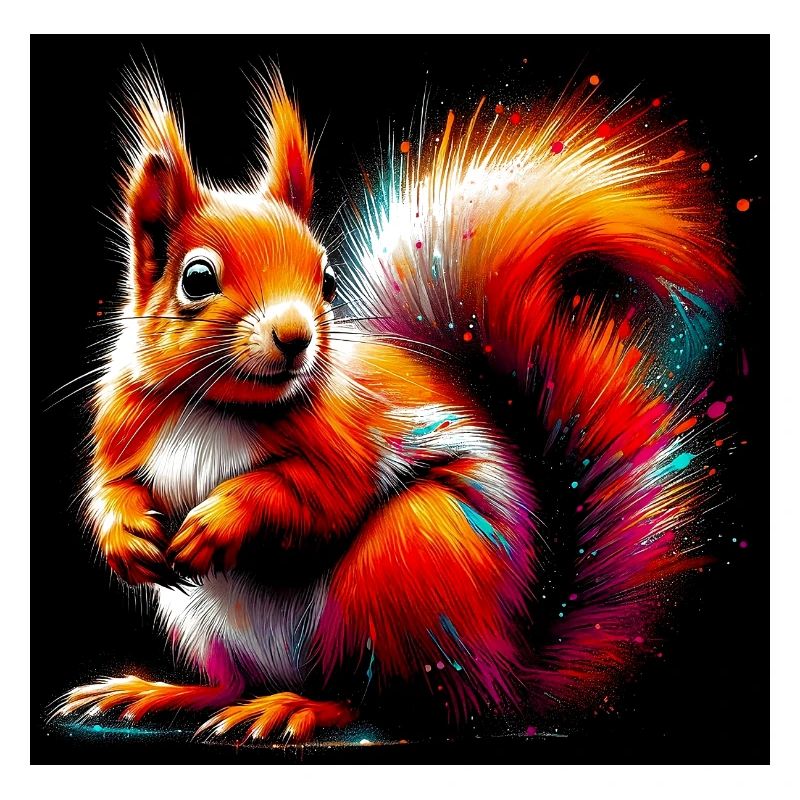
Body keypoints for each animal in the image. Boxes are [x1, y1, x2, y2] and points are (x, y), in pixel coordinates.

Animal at [53, 66, 735, 743]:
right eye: (196, 279)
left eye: (325, 280)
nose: (296, 337)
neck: (216, 406)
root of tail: (506, 674)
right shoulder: (123, 422)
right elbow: (111, 486)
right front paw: (126, 536)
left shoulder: (347, 440)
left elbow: (318, 495)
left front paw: (219, 521)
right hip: (206, 624)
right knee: (235, 681)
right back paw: (166, 692)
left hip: (404, 566)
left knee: (388, 702)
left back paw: (297, 708)